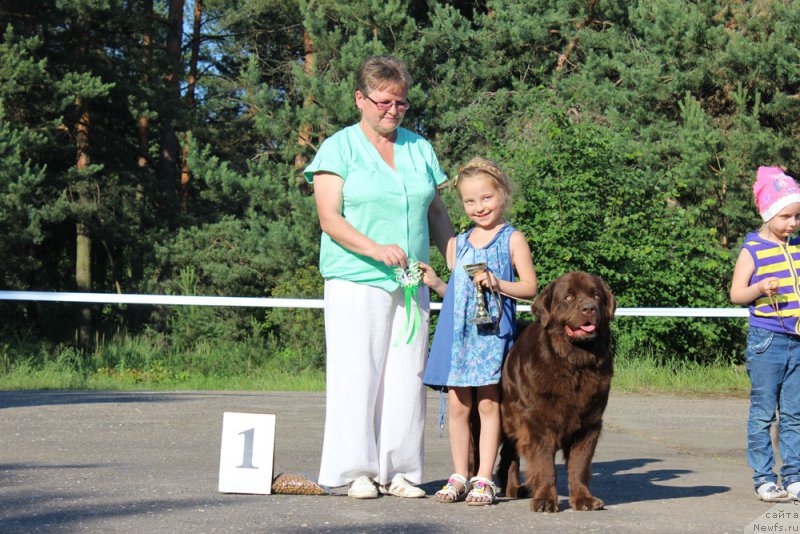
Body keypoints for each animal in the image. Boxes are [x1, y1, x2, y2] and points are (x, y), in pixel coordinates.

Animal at [496, 274, 616, 512]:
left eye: (596, 295)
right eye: (568, 297)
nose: (589, 308)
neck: (573, 364)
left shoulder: (589, 423)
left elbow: (579, 465)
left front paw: (584, 499)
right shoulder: (537, 421)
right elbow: (545, 465)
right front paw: (544, 500)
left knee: (510, 453)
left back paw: (513, 488)